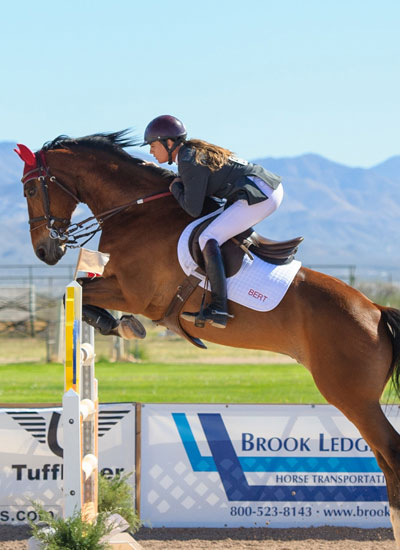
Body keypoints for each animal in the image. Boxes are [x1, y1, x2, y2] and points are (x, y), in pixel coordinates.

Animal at [16, 131, 400, 545]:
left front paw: (117, 323)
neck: (135, 211)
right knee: (384, 459)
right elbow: (81, 290)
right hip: (358, 400)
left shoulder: (136, 293)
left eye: (30, 189)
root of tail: (376, 311)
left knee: (391, 452)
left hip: (351, 396)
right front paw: (118, 324)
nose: (45, 250)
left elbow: (77, 289)